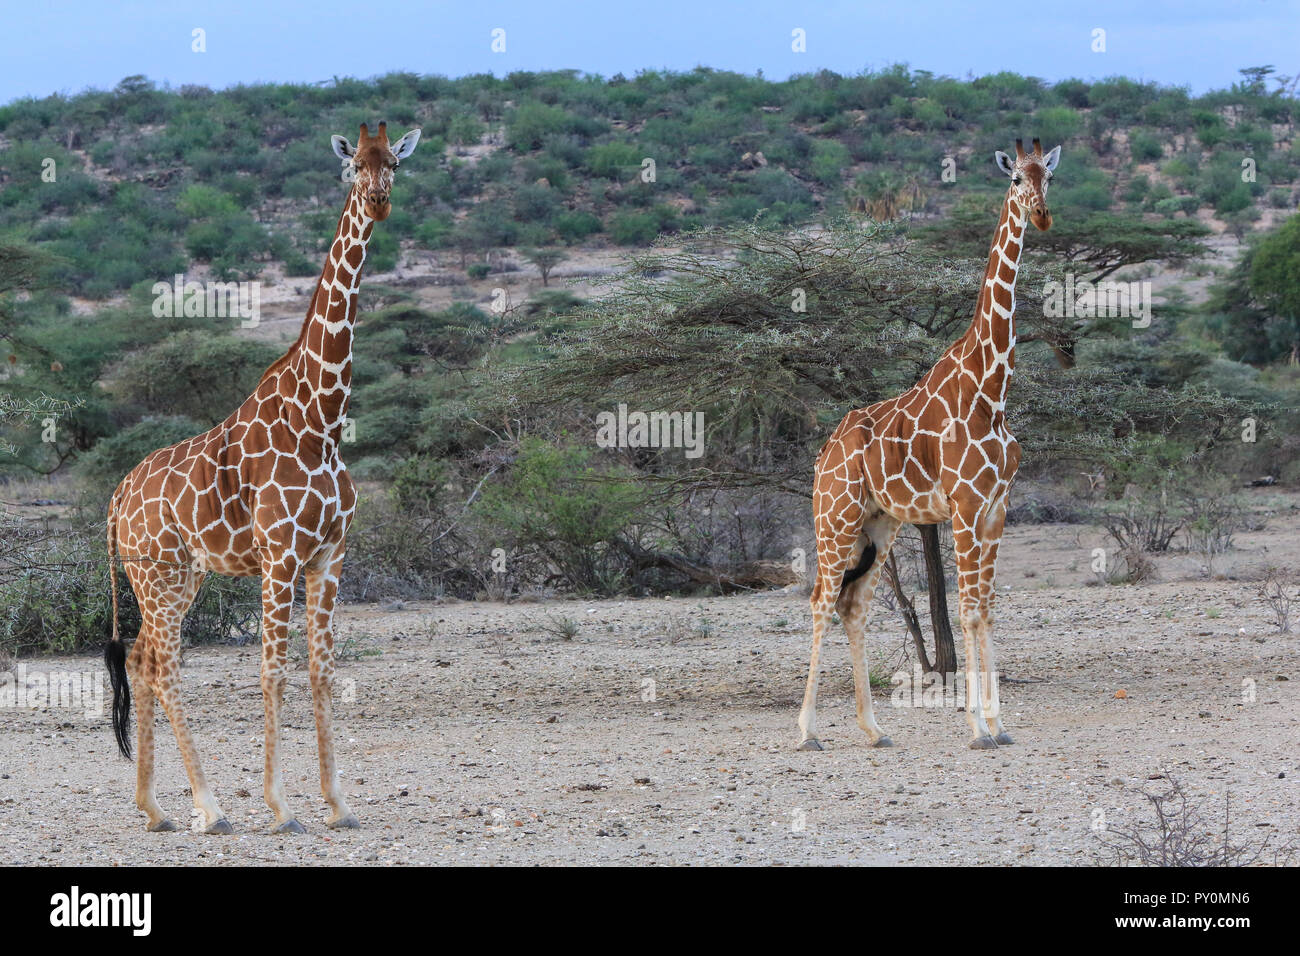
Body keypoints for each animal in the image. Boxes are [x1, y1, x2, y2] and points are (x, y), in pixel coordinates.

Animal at [105, 123, 423, 832]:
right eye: (352, 167)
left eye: (394, 161)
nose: (381, 201)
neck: (321, 418)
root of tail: (114, 500)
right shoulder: (280, 556)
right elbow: (271, 671)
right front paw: (280, 806)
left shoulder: (330, 554)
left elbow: (322, 671)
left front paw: (338, 804)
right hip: (158, 575)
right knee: (164, 666)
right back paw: (210, 806)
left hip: (177, 577)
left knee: (140, 660)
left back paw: (154, 808)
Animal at [795, 140, 1060, 754]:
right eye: (1015, 179)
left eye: (1049, 176)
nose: (1040, 214)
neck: (992, 389)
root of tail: (822, 455)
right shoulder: (963, 507)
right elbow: (966, 611)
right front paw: (977, 728)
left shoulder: (996, 508)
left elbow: (987, 609)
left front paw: (1000, 725)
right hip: (834, 519)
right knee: (821, 601)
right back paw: (808, 731)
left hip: (878, 525)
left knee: (854, 606)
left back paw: (873, 730)